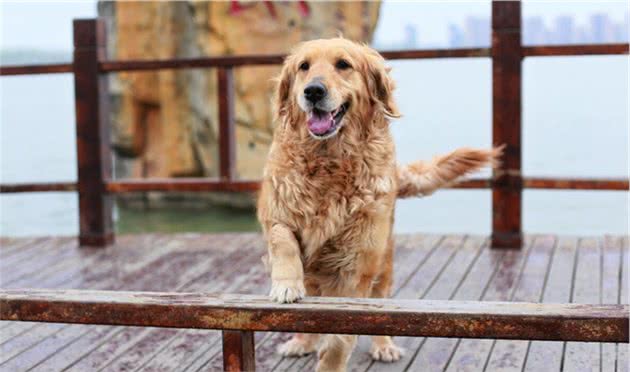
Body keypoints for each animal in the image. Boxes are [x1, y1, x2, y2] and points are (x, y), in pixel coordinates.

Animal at [256, 38, 504, 372]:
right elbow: (282, 241)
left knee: (381, 306)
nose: (313, 91)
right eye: (303, 67)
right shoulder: (277, 211)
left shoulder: (357, 262)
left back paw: (384, 346)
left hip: (383, 264)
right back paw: (301, 342)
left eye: (343, 64)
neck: (329, 161)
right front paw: (285, 285)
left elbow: (340, 339)